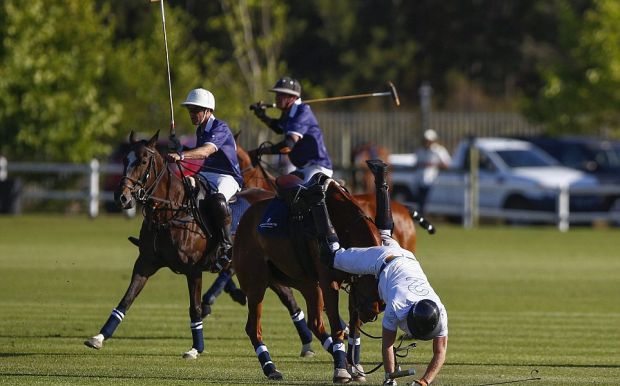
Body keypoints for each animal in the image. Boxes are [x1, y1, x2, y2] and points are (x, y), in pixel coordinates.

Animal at [83, 130, 270, 358]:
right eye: (125, 160)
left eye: (143, 161)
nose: (122, 197)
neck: (170, 211)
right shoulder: (145, 263)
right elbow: (126, 300)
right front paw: (99, 337)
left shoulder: (193, 269)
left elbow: (194, 308)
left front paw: (196, 348)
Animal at [235, 176, 386, 382]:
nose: (369, 315)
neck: (345, 225)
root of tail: (243, 218)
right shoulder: (329, 282)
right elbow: (337, 325)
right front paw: (341, 370)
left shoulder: (351, 282)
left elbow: (351, 326)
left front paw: (353, 367)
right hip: (256, 284)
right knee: (253, 327)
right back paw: (270, 368)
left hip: (307, 284)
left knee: (315, 323)